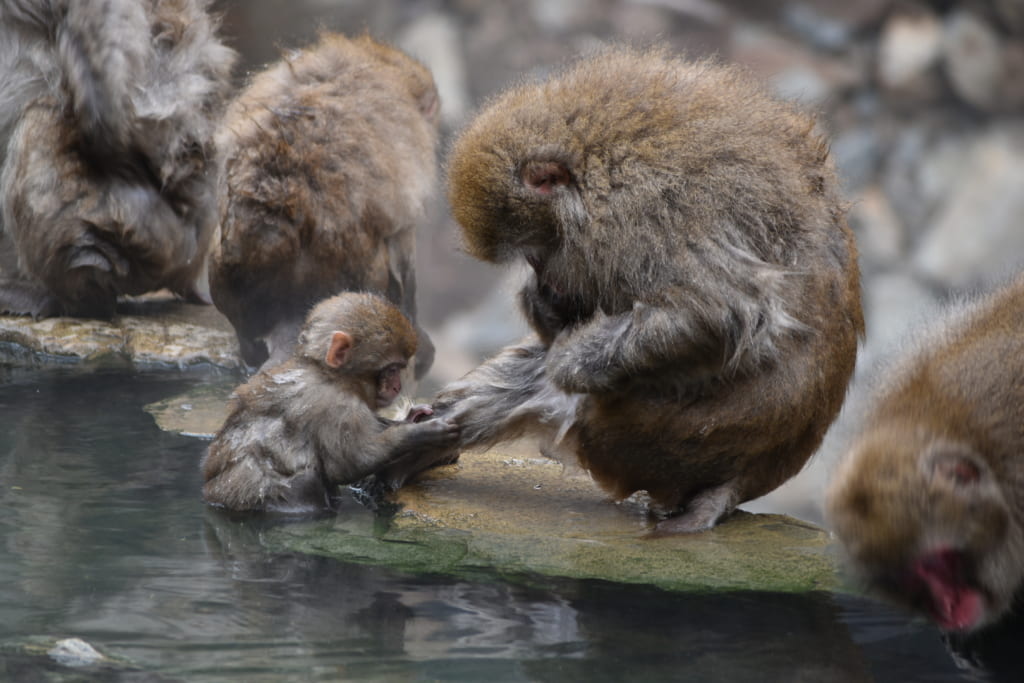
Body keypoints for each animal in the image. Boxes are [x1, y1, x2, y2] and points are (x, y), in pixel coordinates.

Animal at [202, 292, 460, 514]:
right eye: (392, 369)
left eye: (398, 369)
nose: (396, 386)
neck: (330, 375)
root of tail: (212, 494)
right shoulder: (335, 406)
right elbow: (350, 463)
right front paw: (420, 432)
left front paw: (411, 417)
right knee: (307, 481)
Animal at [433, 47, 864, 534]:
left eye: (535, 253)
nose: (544, 282)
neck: (593, 163)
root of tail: (754, 477)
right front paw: (543, 309)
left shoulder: (645, 213)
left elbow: (717, 313)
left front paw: (566, 356)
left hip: (664, 437)